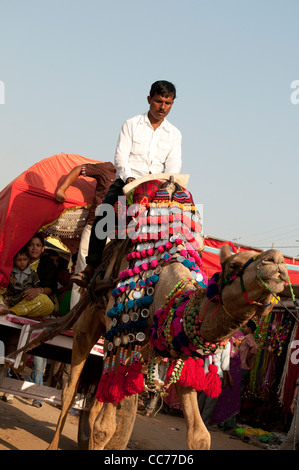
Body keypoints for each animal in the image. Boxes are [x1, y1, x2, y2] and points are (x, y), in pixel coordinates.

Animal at [8, 178, 290, 450]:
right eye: (234, 265)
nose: (277, 261)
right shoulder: (120, 338)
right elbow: (103, 429)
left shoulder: (179, 343)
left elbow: (200, 436)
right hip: (87, 324)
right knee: (70, 390)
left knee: (96, 398)